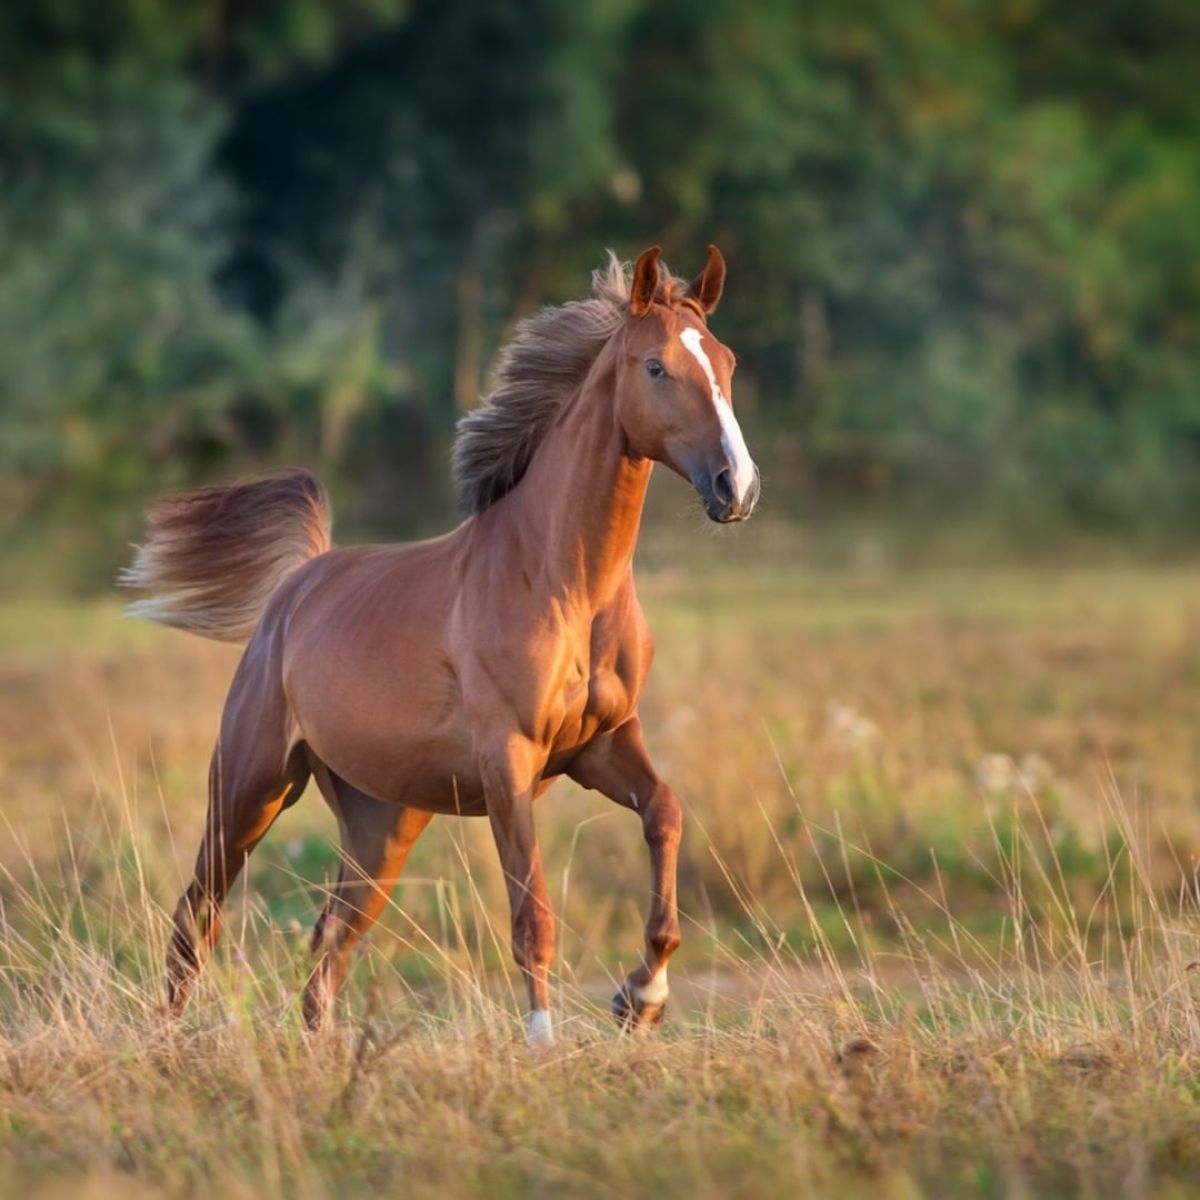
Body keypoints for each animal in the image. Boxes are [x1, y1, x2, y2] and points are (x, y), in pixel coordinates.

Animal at [121, 243, 758, 1041]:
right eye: (654, 367)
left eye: (727, 361)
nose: (737, 487)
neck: (563, 580)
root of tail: (295, 586)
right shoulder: (509, 762)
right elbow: (531, 917)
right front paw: (544, 1044)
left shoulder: (603, 744)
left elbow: (665, 815)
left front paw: (640, 1000)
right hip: (250, 786)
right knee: (197, 917)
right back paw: (166, 1042)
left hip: (381, 826)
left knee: (327, 945)